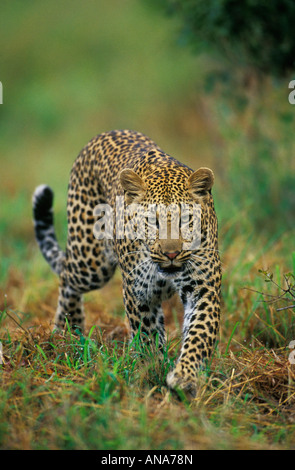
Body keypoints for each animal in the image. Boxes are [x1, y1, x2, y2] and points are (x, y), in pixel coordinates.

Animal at [33, 129, 222, 396]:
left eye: (186, 219)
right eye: (152, 221)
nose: (171, 254)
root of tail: (105, 133)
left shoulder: (203, 287)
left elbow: (199, 333)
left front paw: (185, 376)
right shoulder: (138, 292)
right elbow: (147, 334)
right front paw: (151, 371)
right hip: (91, 263)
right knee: (67, 276)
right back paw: (68, 331)